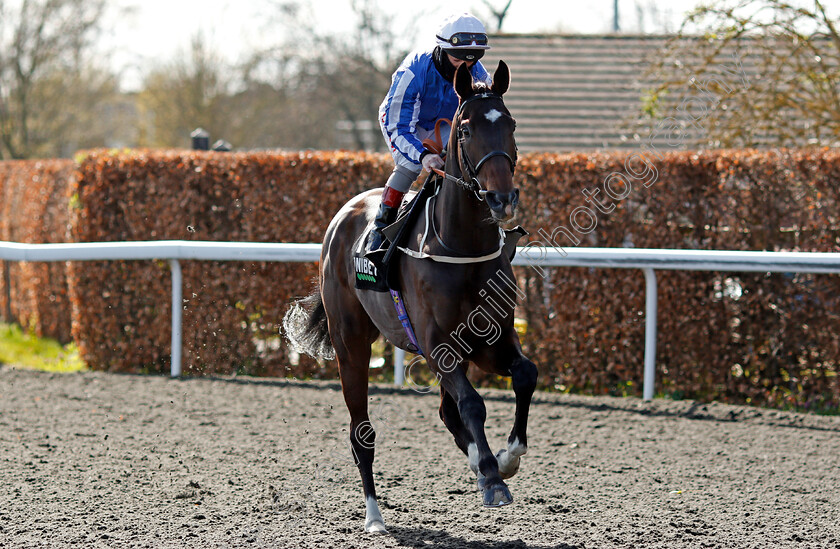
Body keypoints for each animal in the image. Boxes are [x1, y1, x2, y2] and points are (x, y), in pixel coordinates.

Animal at [286, 62, 540, 532]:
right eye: (465, 129)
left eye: (511, 123)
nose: (502, 198)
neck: (461, 247)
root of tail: (342, 217)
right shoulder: (438, 344)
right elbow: (472, 403)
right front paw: (494, 479)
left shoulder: (489, 339)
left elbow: (525, 375)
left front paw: (506, 459)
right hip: (351, 345)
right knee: (361, 433)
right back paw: (374, 516)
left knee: (447, 411)